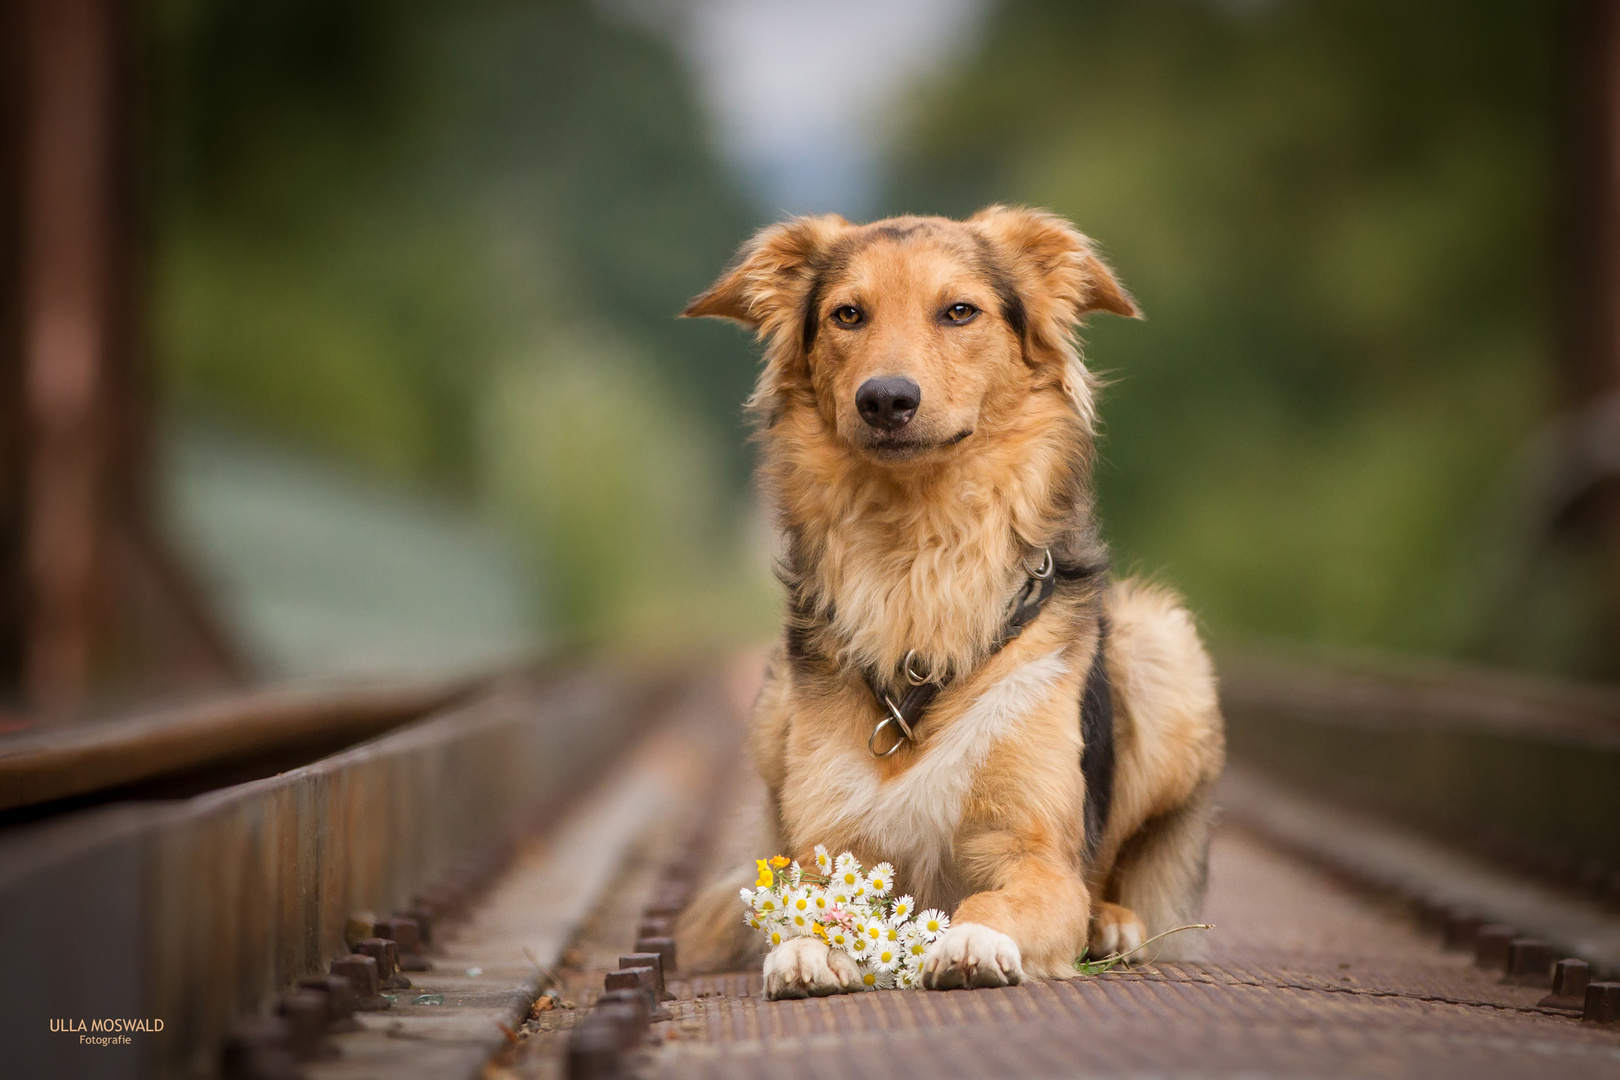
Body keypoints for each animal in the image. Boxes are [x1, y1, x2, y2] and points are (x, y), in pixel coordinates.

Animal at [677, 207, 1218, 1003]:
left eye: (960, 311)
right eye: (848, 315)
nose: (885, 399)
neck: (918, 550)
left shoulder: (1036, 854)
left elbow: (1008, 898)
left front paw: (971, 938)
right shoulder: (826, 845)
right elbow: (805, 908)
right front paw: (805, 950)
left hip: (1165, 647)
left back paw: (1113, 925)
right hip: (772, 707)